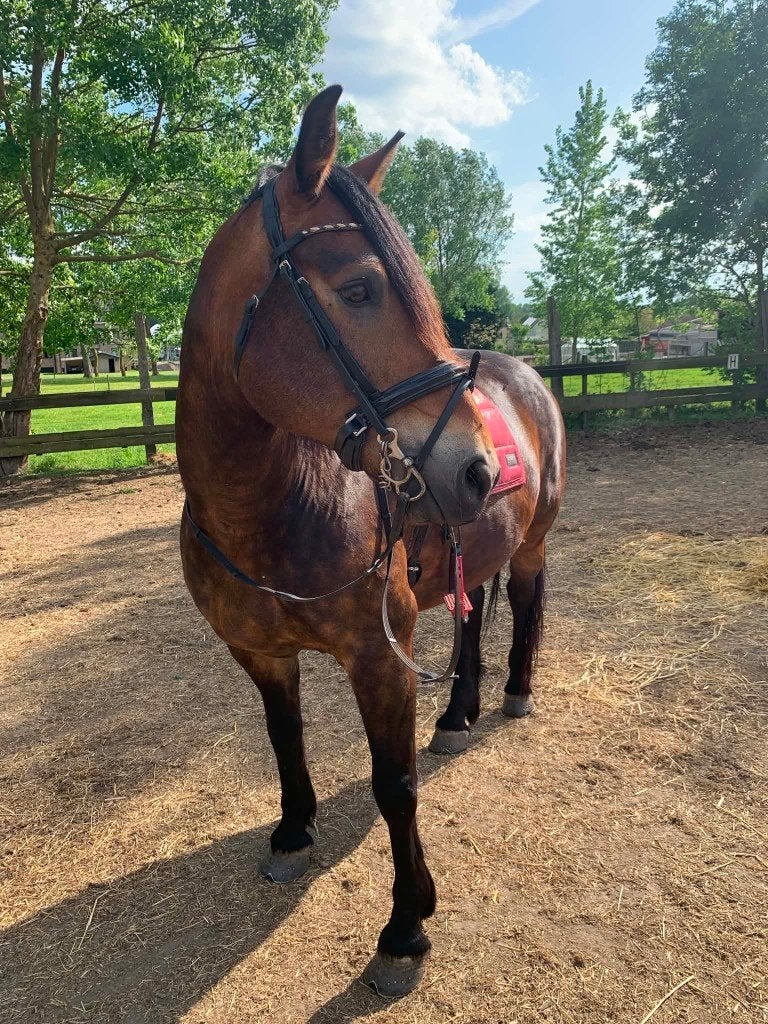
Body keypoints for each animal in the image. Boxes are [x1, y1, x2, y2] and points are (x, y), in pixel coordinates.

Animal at [176, 84, 566, 998]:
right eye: (357, 289)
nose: (475, 468)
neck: (264, 514)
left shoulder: (379, 659)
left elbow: (396, 786)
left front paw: (405, 930)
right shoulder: (259, 653)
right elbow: (285, 741)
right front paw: (293, 833)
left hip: (531, 546)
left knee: (525, 606)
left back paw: (513, 694)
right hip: (467, 554)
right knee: (471, 619)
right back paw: (458, 713)